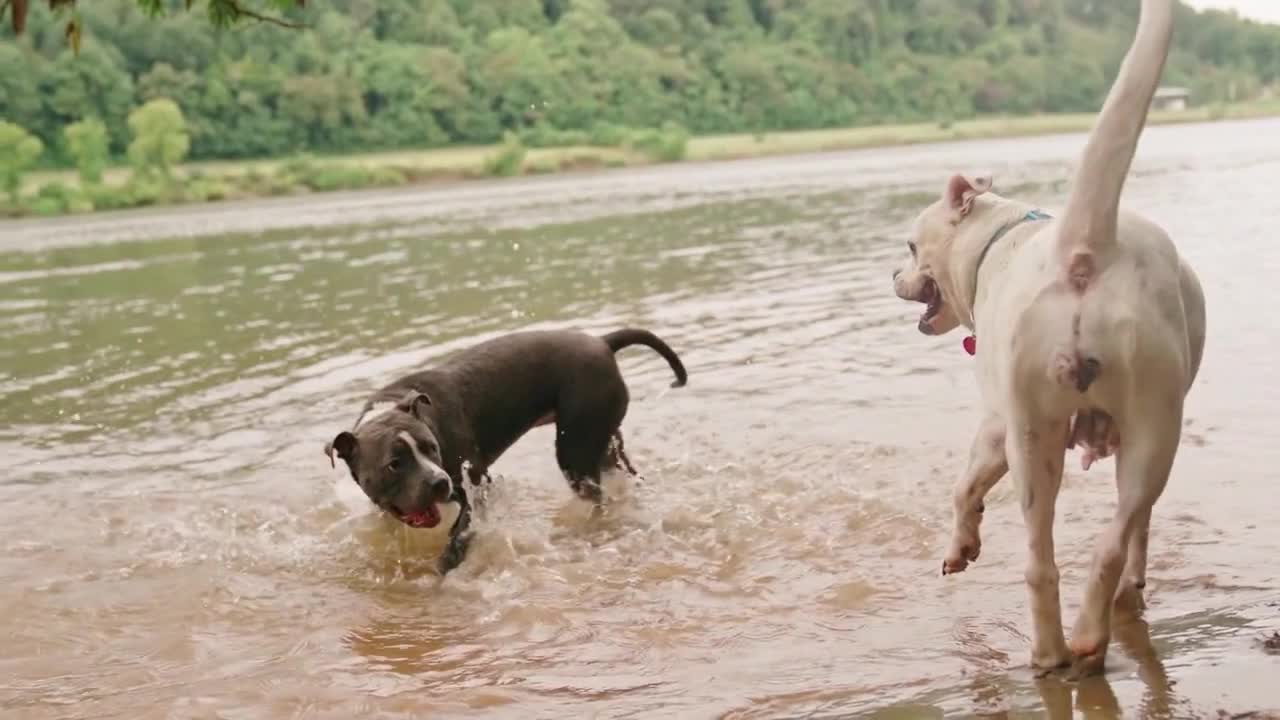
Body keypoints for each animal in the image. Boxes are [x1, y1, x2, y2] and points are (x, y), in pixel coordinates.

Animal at [330, 326, 691, 571]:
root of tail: (603, 341)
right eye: (394, 463)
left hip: (575, 452)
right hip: (603, 444)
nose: (439, 482)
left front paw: (449, 562)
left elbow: (460, 531)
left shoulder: (474, 483)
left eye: (432, 448)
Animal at [896, 0, 1203, 671]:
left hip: (1043, 430)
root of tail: (1084, 249)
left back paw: (1056, 651)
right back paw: (1087, 632)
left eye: (908, 247)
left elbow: (964, 485)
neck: (996, 241)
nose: (893, 277)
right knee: (1115, 535)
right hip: (1146, 428)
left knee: (1057, 555)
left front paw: (961, 547)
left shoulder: (997, 420)